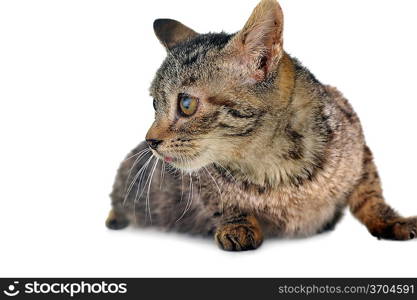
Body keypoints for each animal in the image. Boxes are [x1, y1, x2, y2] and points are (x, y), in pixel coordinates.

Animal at [106, 0, 416, 250]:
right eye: (154, 105)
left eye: (186, 104)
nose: (150, 141)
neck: (273, 164)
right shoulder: (201, 183)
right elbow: (221, 202)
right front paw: (237, 224)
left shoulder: (358, 142)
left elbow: (370, 195)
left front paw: (392, 220)